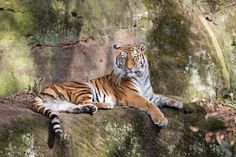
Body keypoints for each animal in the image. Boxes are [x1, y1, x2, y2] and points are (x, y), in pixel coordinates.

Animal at [32, 42, 183, 140]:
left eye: (134, 58)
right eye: (124, 58)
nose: (129, 68)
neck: (140, 76)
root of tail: (42, 91)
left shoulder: (149, 94)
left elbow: (163, 98)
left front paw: (178, 103)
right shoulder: (132, 95)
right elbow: (149, 104)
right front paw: (161, 119)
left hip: (63, 104)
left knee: (73, 108)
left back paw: (90, 109)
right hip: (83, 86)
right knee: (84, 101)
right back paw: (106, 105)